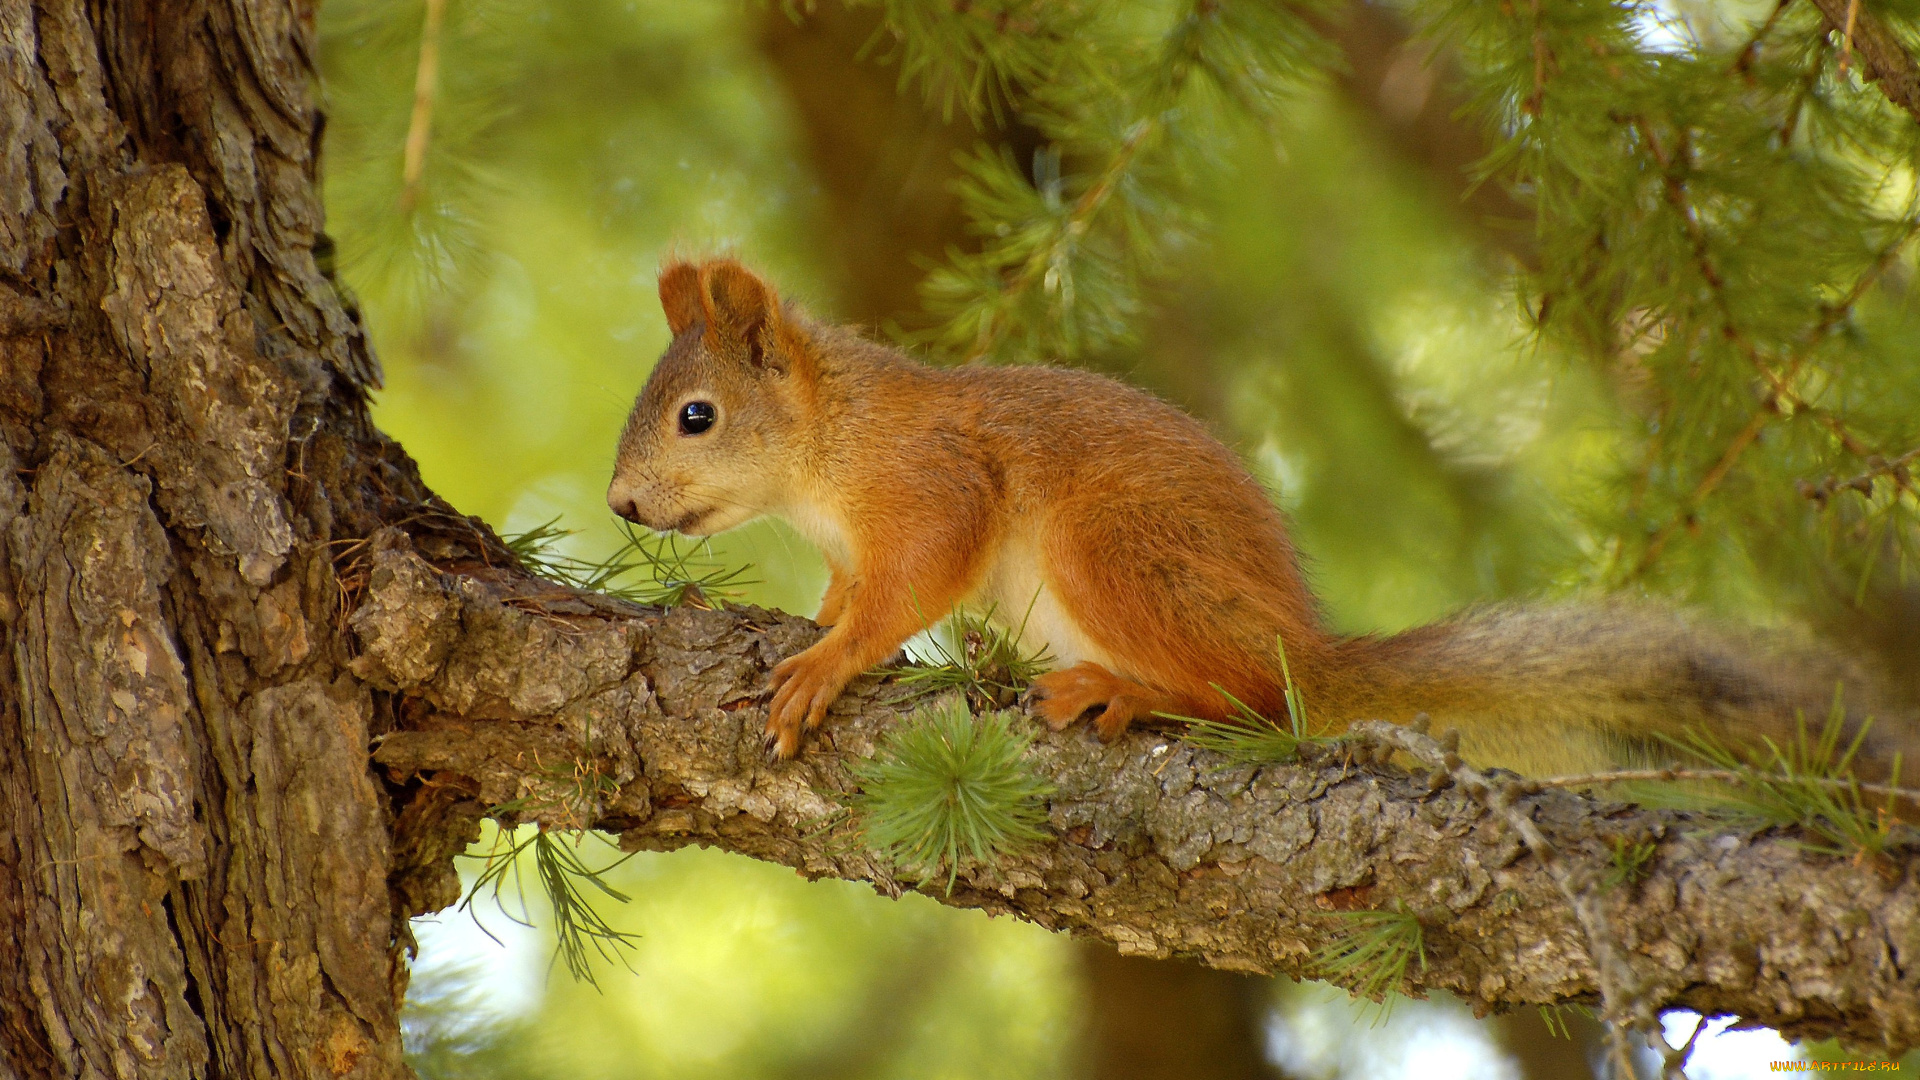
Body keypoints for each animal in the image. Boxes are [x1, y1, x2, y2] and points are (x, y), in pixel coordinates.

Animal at [602, 255, 1920, 772]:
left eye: (696, 418)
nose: (618, 502)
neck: (828, 448)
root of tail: (1305, 647)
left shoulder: (933, 482)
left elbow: (911, 585)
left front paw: (826, 664)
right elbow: (850, 590)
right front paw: (814, 626)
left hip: (1113, 552)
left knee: (1244, 698)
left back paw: (1126, 692)